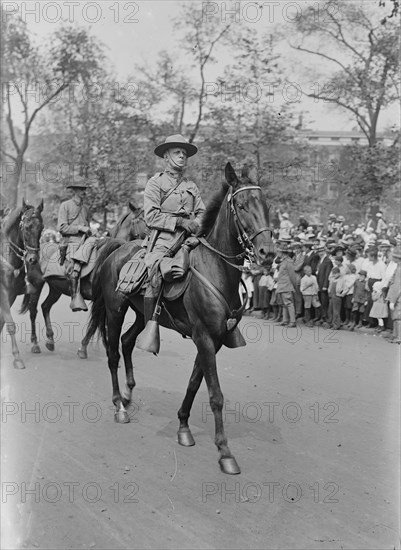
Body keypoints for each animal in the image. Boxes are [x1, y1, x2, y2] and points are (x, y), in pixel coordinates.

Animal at [0, 201, 44, 368]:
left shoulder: (11, 295)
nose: (33, 259)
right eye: (26, 227)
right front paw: (17, 357)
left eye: (42, 227)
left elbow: (4, 322)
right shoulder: (4, 294)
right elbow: (9, 324)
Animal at [86, 163, 276, 474]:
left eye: (266, 205)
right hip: (115, 312)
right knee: (113, 353)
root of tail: (118, 248)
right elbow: (215, 395)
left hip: (143, 315)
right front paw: (224, 452)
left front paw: (183, 427)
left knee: (126, 342)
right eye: (241, 205)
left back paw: (128, 395)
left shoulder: (214, 340)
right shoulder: (204, 337)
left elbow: (195, 383)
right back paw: (120, 407)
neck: (215, 269)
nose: (267, 252)